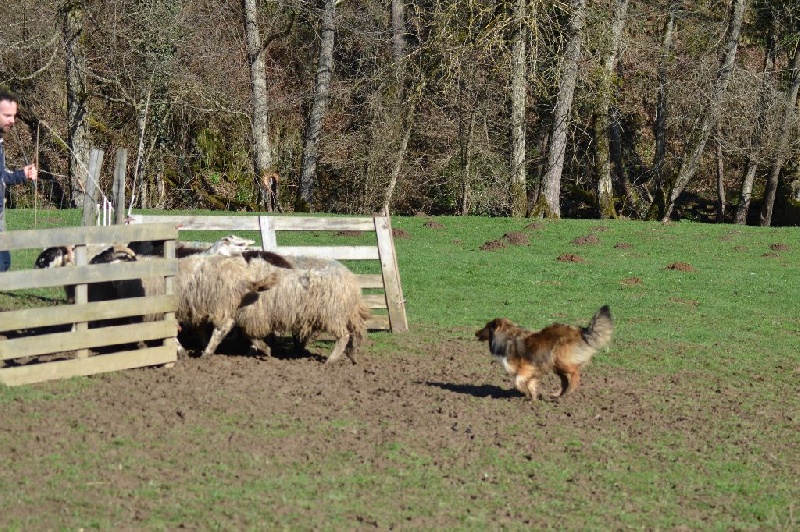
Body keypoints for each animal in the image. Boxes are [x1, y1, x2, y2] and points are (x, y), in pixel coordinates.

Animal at [476, 306, 612, 402]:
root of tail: (580, 330)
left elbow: (518, 380)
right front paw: (533, 398)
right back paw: (557, 395)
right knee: (565, 381)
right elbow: (530, 384)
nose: (475, 333)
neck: (506, 336)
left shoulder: (527, 366)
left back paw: (570, 391)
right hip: (557, 366)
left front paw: (523, 391)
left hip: (561, 360)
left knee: (575, 373)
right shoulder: (531, 371)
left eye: (486, 326)